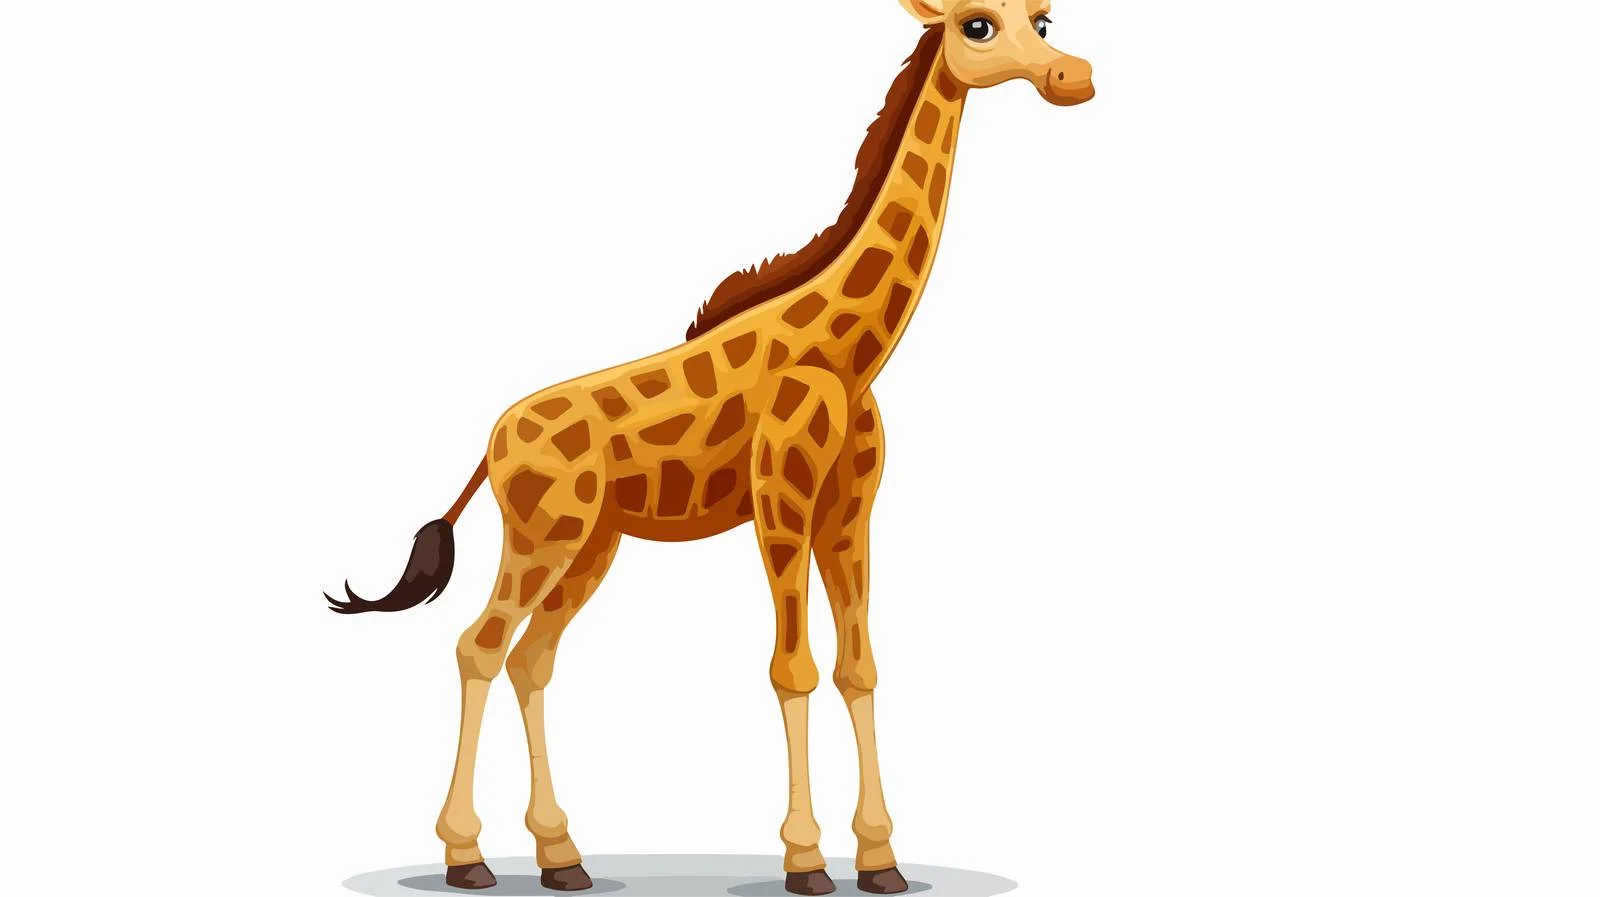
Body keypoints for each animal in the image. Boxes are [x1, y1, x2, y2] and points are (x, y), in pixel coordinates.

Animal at [326, 2, 1093, 894]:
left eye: (1044, 20)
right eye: (978, 26)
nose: (1073, 76)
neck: (848, 351)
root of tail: (492, 443)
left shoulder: (850, 509)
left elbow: (859, 666)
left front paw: (880, 859)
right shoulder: (780, 497)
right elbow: (792, 666)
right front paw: (806, 860)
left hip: (592, 544)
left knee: (530, 659)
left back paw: (561, 855)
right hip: (545, 535)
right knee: (478, 646)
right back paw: (468, 855)